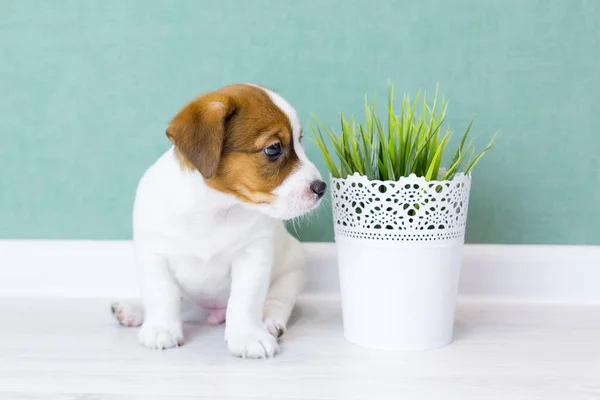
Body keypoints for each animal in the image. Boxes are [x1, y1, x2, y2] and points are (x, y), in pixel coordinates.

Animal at [110, 84, 326, 360]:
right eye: (273, 149)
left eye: (299, 141)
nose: (321, 188)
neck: (213, 208)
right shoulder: (154, 255)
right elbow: (162, 295)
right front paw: (161, 329)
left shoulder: (252, 259)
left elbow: (245, 302)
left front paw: (248, 336)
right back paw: (133, 310)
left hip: (292, 273)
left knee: (276, 302)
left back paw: (269, 324)